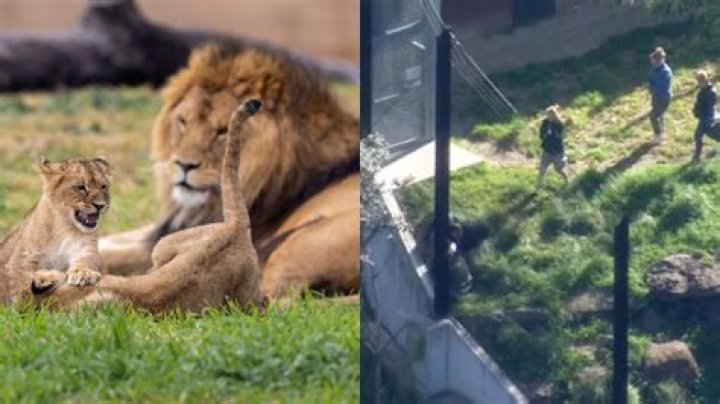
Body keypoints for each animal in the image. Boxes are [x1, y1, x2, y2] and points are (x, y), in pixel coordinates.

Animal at [0, 157, 112, 304]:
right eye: (81, 187)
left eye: (103, 186)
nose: (100, 205)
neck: (62, 226)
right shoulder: (21, 258)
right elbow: (19, 281)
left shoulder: (87, 249)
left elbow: (87, 260)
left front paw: (84, 274)